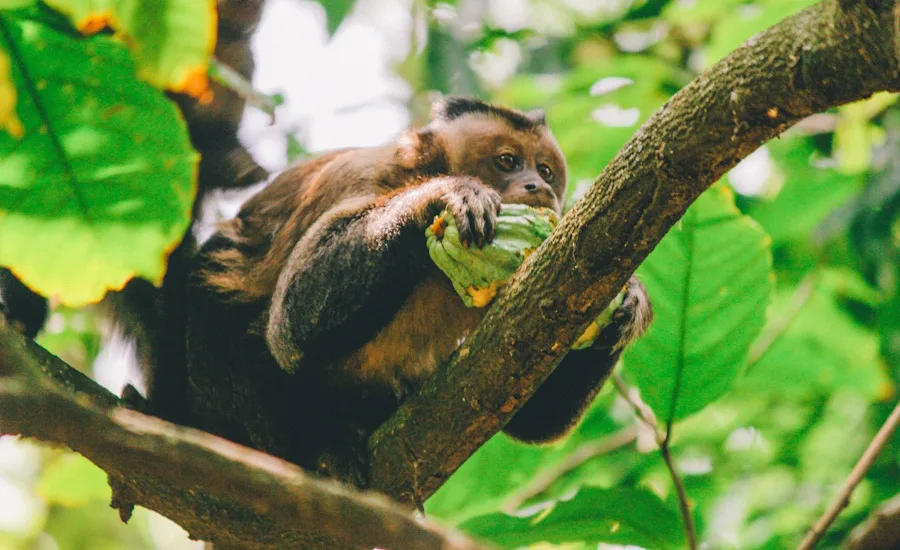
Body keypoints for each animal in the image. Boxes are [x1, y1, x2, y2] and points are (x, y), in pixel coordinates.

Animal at [173, 96, 652, 486]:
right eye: (508, 161)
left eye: (547, 171)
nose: (541, 187)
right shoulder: (364, 177)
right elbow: (289, 330)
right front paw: (445, 195)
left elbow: (529, 415)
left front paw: (629, 302)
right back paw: (325, 448)